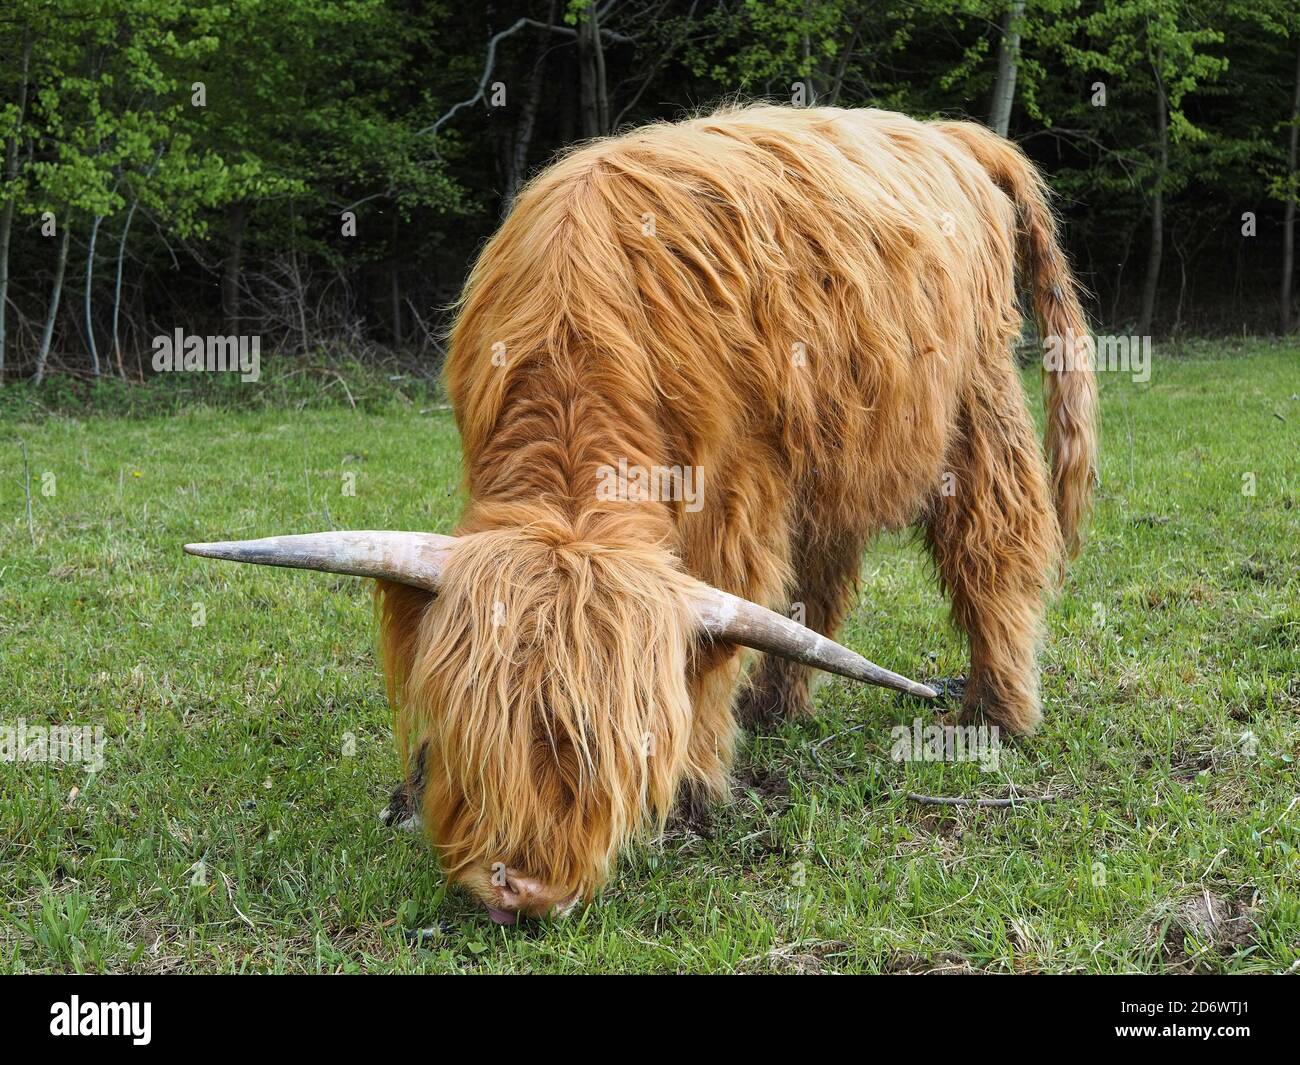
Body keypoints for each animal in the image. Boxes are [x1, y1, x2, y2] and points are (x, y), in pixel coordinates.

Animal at [185, 105, 1097, 925]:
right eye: (471, 731)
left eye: (620, 750)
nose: (521, 886)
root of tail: (950, 136)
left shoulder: (733, 494)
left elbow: (717, 642)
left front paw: (694, 789)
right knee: (824, 577)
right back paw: (778, 710)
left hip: (976, 402)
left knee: (995, 543)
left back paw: (996, 711)